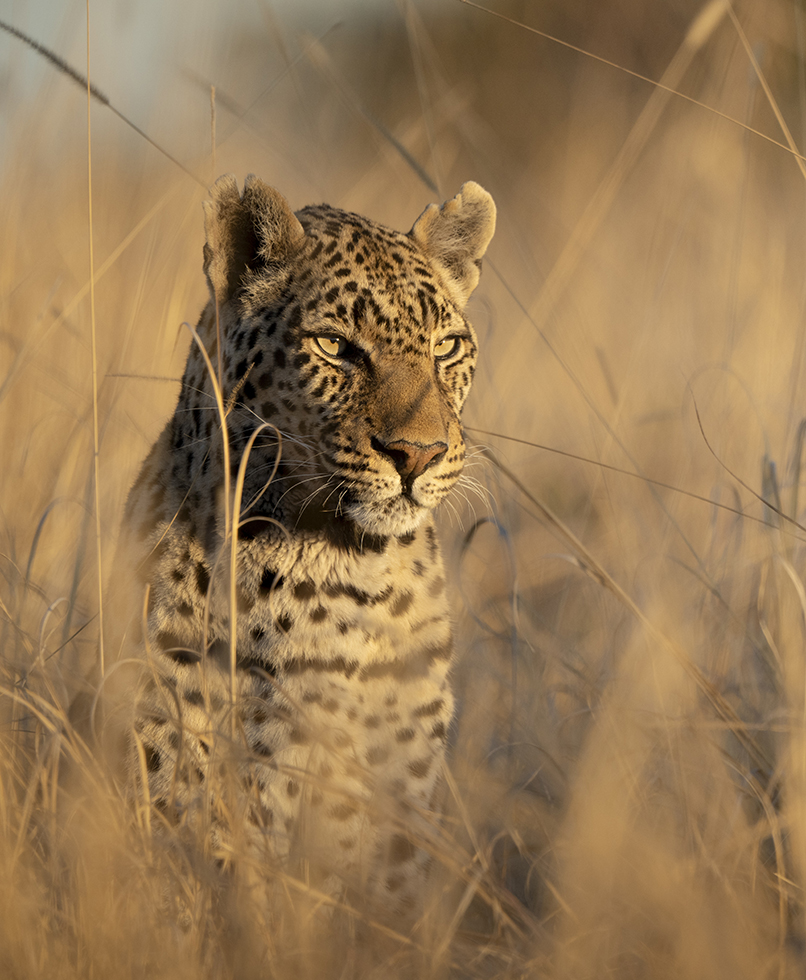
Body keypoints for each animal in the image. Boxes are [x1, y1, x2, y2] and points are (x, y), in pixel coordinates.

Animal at [118, 174, 496, 917]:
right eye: (334, 346)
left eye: (445, 347)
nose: (419, 453)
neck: (359, 572)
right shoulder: (249, 760)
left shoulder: (401, 793)